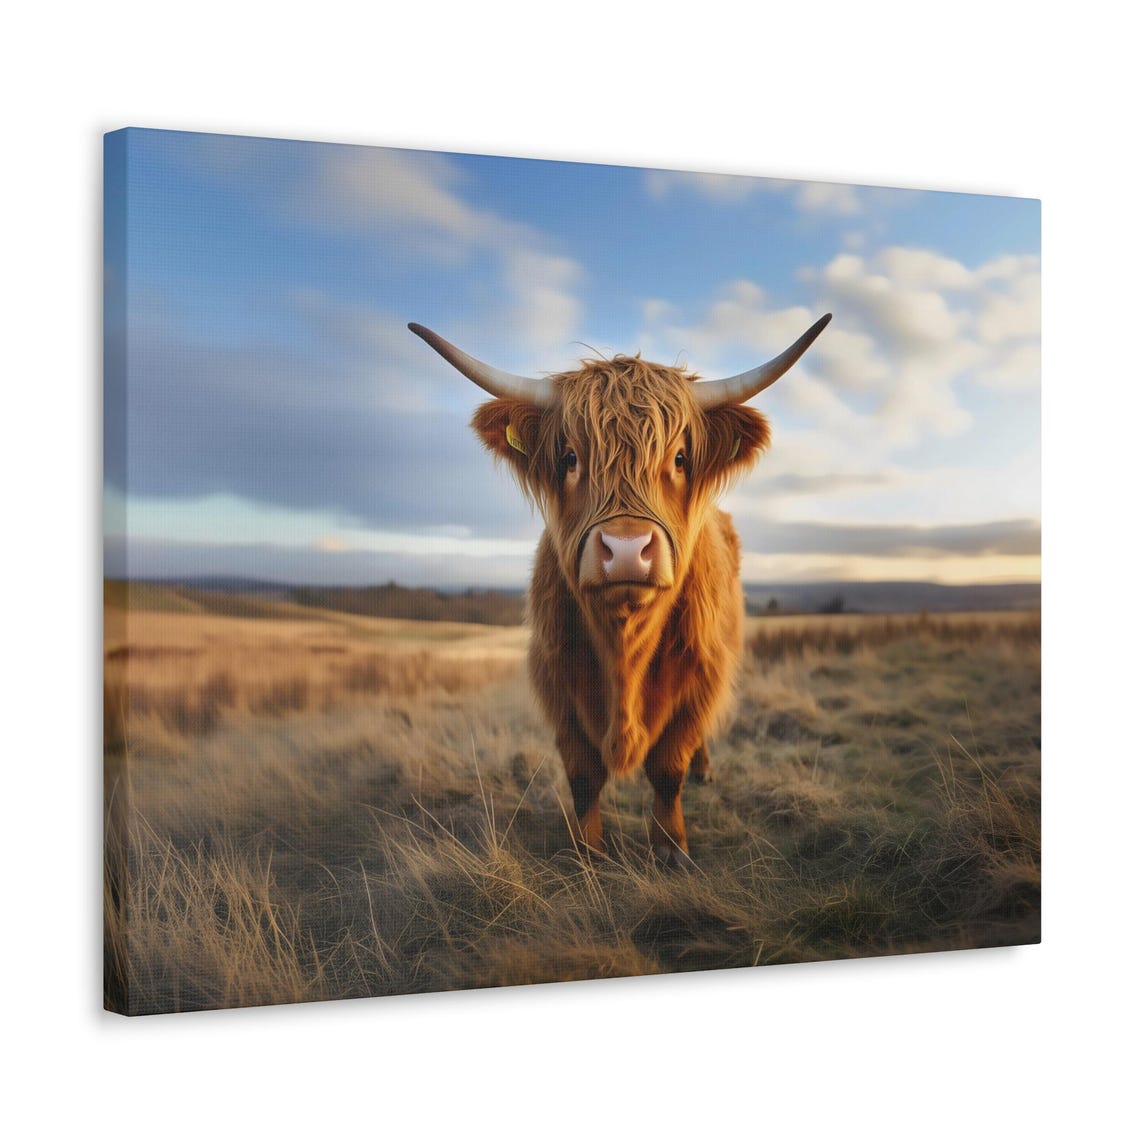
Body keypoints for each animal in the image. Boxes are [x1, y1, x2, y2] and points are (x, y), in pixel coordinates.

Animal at [409, 313, 831, 868]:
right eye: (570, 458)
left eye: (680, 458)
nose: (627, 550)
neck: (623, 647)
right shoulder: (557, 681)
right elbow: (584, 776)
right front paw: (586, 852)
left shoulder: (701, 676)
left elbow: (668, 769)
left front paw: (670, 847)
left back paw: (705, 770)